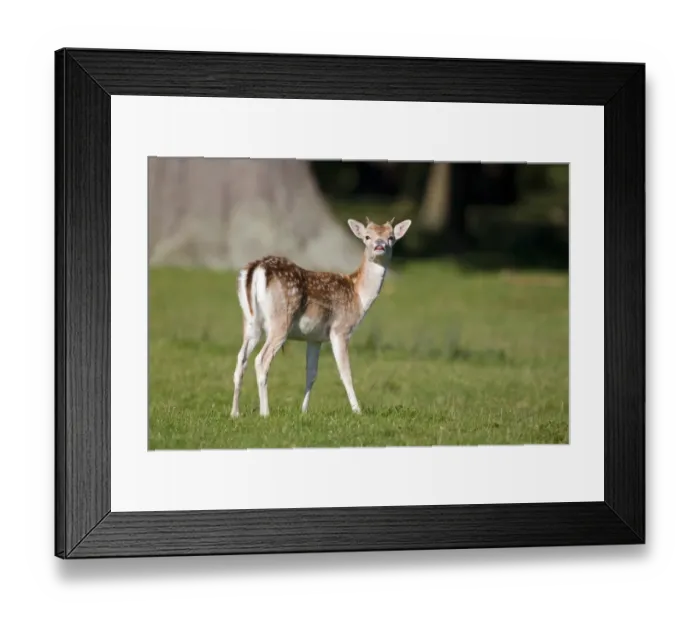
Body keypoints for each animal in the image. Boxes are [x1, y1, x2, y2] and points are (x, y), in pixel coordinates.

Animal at [230, 217, 412, 419]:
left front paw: (303, 410)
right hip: (280, 321)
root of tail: (256, 269)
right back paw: (265, 412)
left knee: (241, 360)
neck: (358, 296)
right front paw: (357, 410)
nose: (380, 245)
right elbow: (345, 372)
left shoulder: (314, 337)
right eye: (367, 236)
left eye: (391, 237)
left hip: (250, 322)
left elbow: (311, 373)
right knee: (261, 360)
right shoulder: (341, 330)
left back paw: (235, 412)